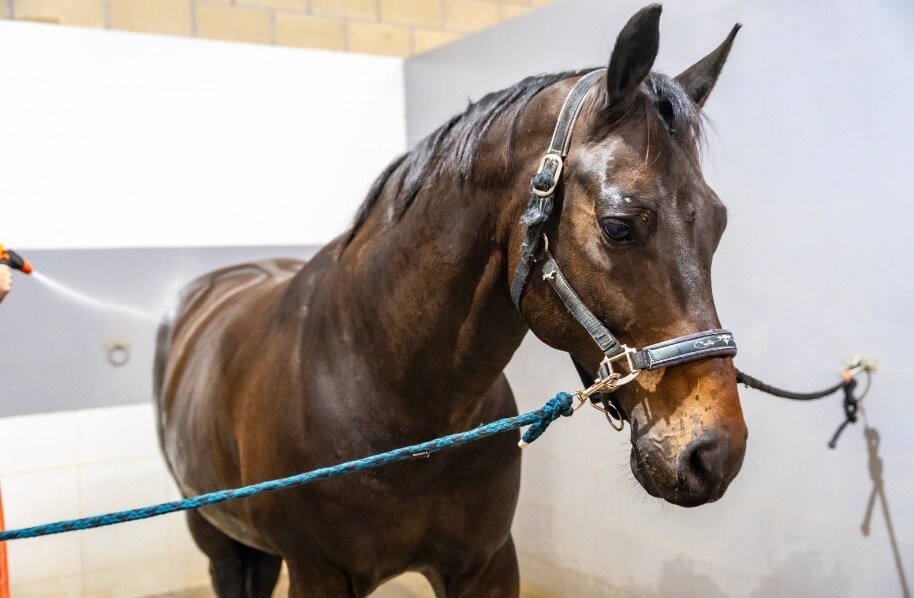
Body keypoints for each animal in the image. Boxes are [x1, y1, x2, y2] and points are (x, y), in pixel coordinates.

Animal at [154, 5, 748, 596]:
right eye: (618, 226)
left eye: (719, 223)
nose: (715, 453)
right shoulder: (319, 573)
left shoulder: (486, 563)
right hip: (221, 542)